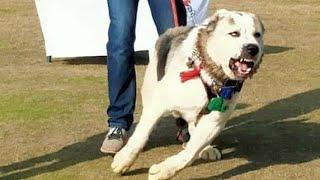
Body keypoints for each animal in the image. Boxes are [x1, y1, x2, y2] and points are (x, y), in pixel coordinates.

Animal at [111, 9, 264, 179]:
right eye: (234, 33)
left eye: (257, 34)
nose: (253, 48)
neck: (208, 74)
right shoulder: (159, 102)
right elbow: (141, 134)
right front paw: (124, 160)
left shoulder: (215, 120)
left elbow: (191, 152)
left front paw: (164, 170)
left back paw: (206, 148)